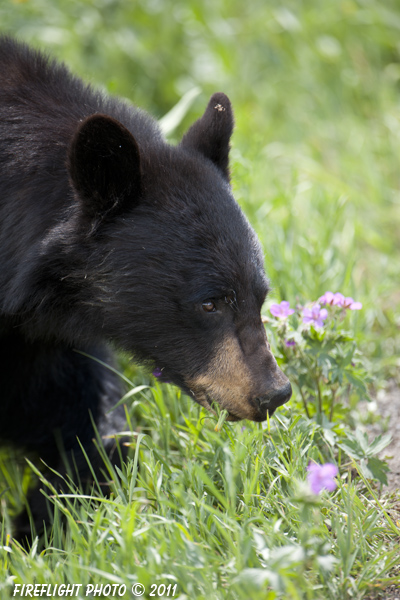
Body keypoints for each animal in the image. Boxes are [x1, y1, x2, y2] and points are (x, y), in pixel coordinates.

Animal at [0, 37, 290, 540]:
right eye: (210, 303)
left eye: (261, 296)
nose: (273, 394)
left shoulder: (42, 343)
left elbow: (90, 423)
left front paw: (47, 519)